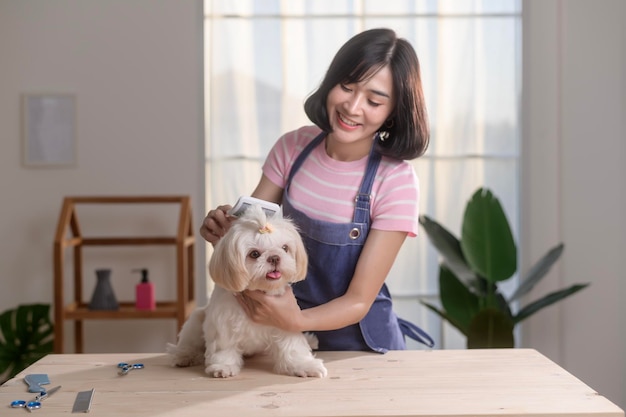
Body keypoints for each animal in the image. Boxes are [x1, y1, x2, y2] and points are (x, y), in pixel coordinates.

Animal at [166, 203, 326, 378]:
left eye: (285, 248)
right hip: (195, 321)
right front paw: (223, 366)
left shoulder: (285, 320)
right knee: (188, 343)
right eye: (254, 254)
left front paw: (304, 365)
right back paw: (183, 355)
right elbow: (224, 347)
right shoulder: (223, 324)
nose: (274, 257)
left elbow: (293, 347)